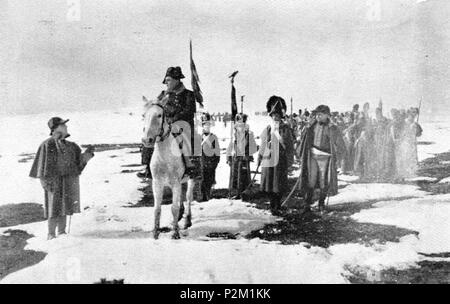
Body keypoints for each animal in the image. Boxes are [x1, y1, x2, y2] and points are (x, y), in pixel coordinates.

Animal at [142, 96, 194, 239]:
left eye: (159, 115)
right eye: (144, 115)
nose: (146, 140)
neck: (165, 155)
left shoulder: (175, 182)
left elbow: (173, 208)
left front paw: (175, 233)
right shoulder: (157, 183)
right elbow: (157, 208)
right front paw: (155, 232)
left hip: (191, 179)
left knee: (188, 197)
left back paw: (187, 220)